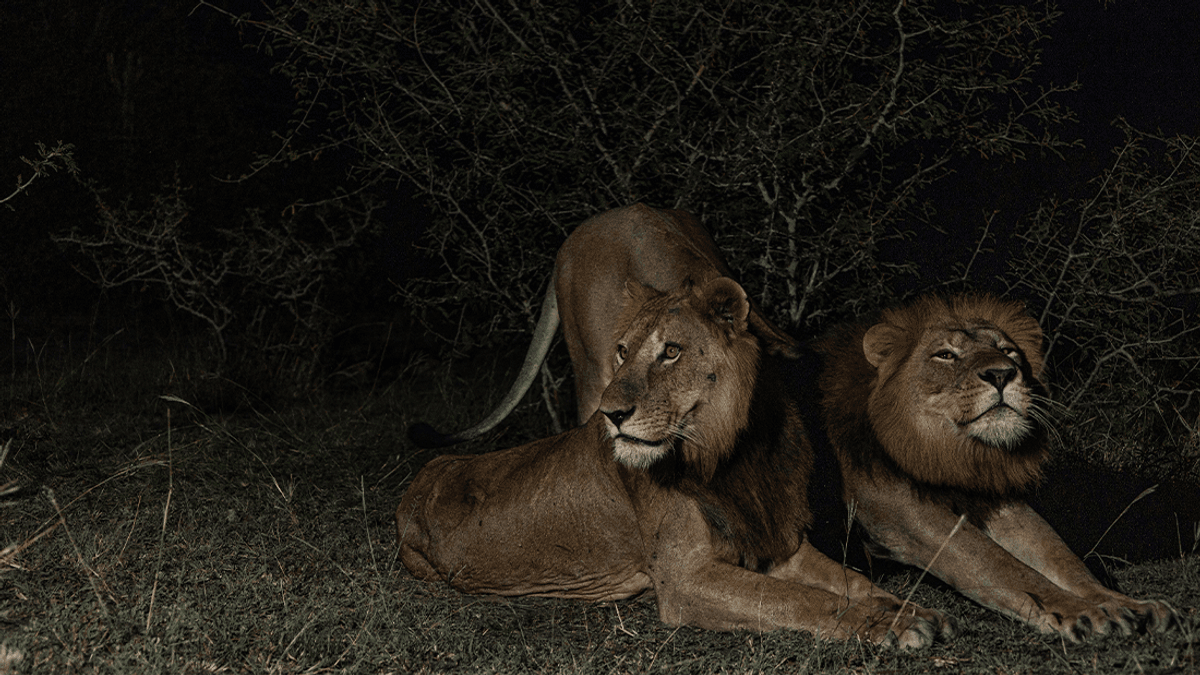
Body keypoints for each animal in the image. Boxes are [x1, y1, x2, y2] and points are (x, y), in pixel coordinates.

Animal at [398, 279, 953, 647]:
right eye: (622, 352)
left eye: (671, 351)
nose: (610, 414)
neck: (730, 454)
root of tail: (418, 479)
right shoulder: (686, 579)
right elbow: (799, 600)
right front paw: (892, 624)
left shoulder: (777, 543)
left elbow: (853, 581)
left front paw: (909, 608)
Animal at [815, 294, 1178, 641]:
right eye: (945, 355)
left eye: (1007, 351)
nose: (1001, 373)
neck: (950, 452)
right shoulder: (902, 510)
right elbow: (1002, 566)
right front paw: (1084, 612)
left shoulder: (992, 499)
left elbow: (1063, 561)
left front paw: (1127, 604)